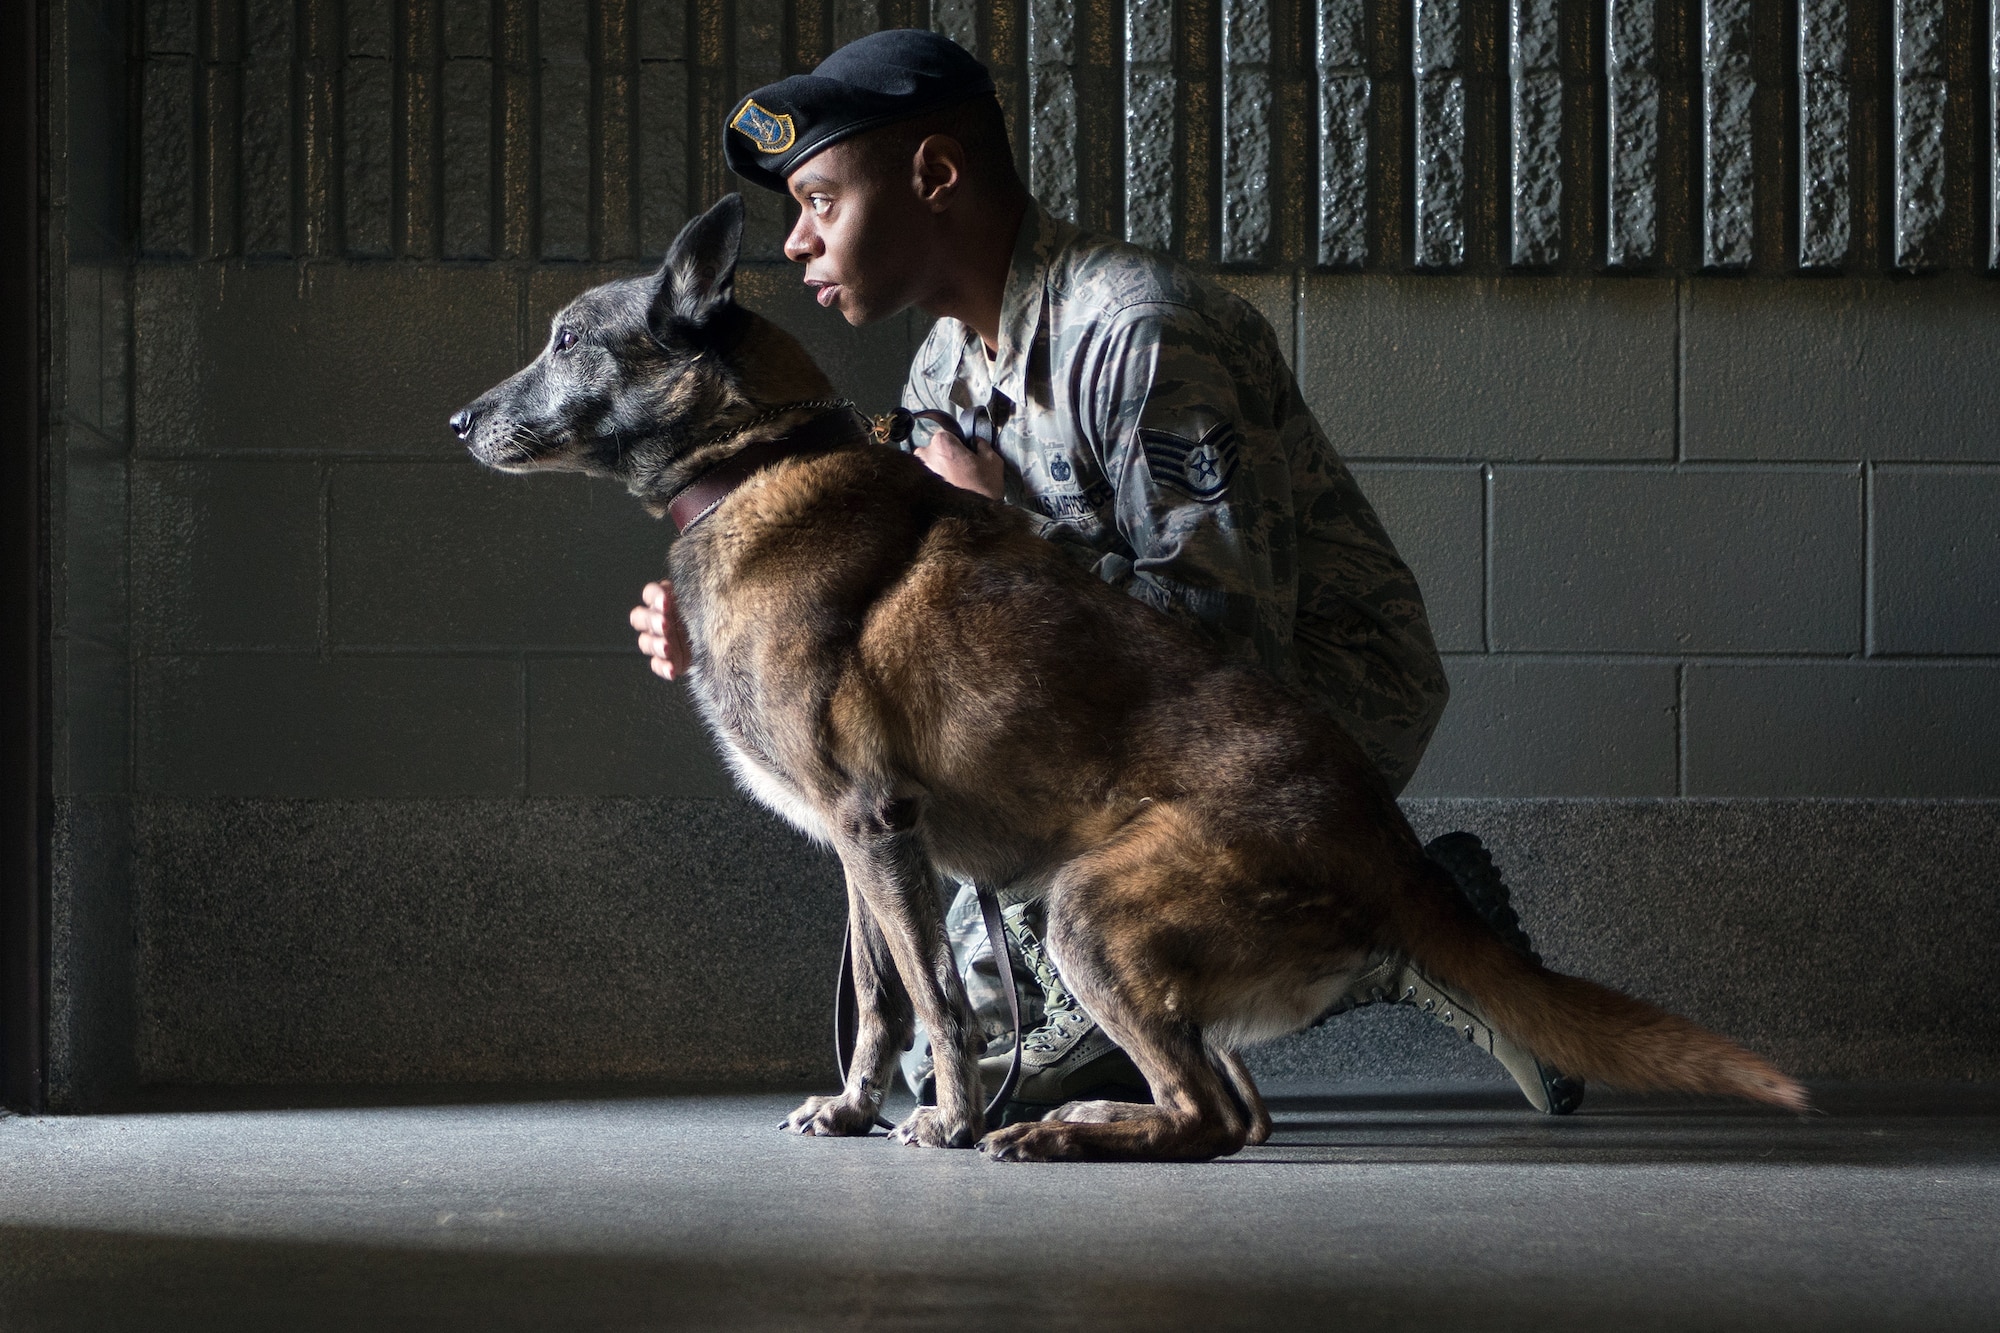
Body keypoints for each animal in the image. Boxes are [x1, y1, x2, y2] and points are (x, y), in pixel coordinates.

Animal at [458, 192, 1816, 1160]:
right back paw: (1091, 1117)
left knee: (1212, 1114)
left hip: (1080, 908)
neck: (757, 460)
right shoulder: (850, 850)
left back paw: (1049, 1130)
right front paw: (850, 1108)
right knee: (1235, 1109)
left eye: (567, 340)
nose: (459, 423)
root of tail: (1378, 836)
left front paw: (945, 1118)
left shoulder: (876, 827)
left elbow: (936, 1002)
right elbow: (879, 1000)